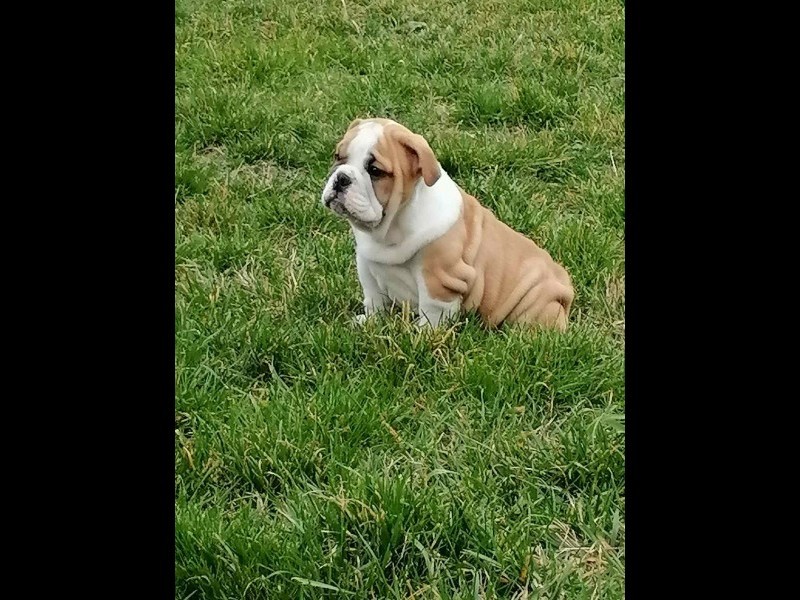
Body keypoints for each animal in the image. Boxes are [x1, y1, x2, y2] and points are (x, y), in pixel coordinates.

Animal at [321, 118, 574, 330]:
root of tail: (566, 287)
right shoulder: (367, 266)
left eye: (375, 171)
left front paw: (422, 337)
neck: (391, 227)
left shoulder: (439, 280)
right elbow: (374, 299)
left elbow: (432, 313)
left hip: (536, 306)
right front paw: (370, 322)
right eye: (337, 157)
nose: (341, 178)